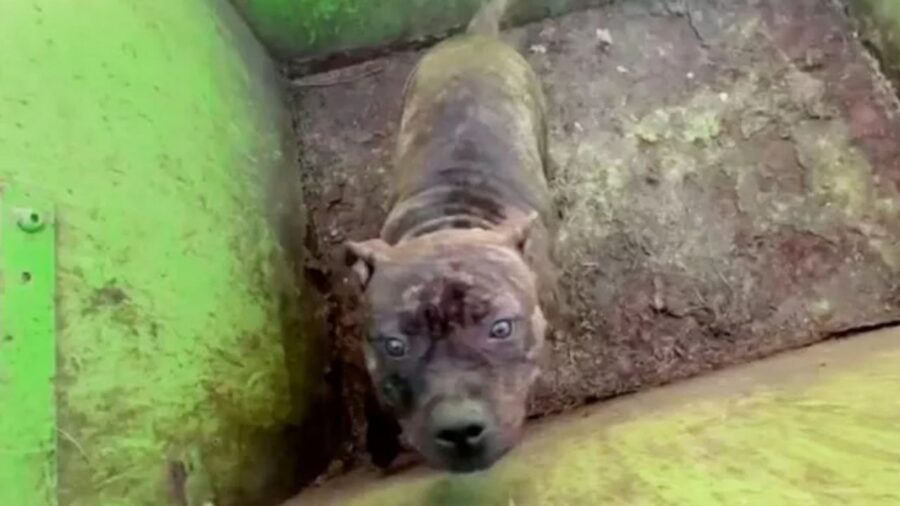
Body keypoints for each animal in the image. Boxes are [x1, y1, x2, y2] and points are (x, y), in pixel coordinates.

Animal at [346, 0, 552, 474]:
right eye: (395, 345)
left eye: (501, 328)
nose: (459, 429)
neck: (449, 222)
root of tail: (475, 38)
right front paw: (379, 442)